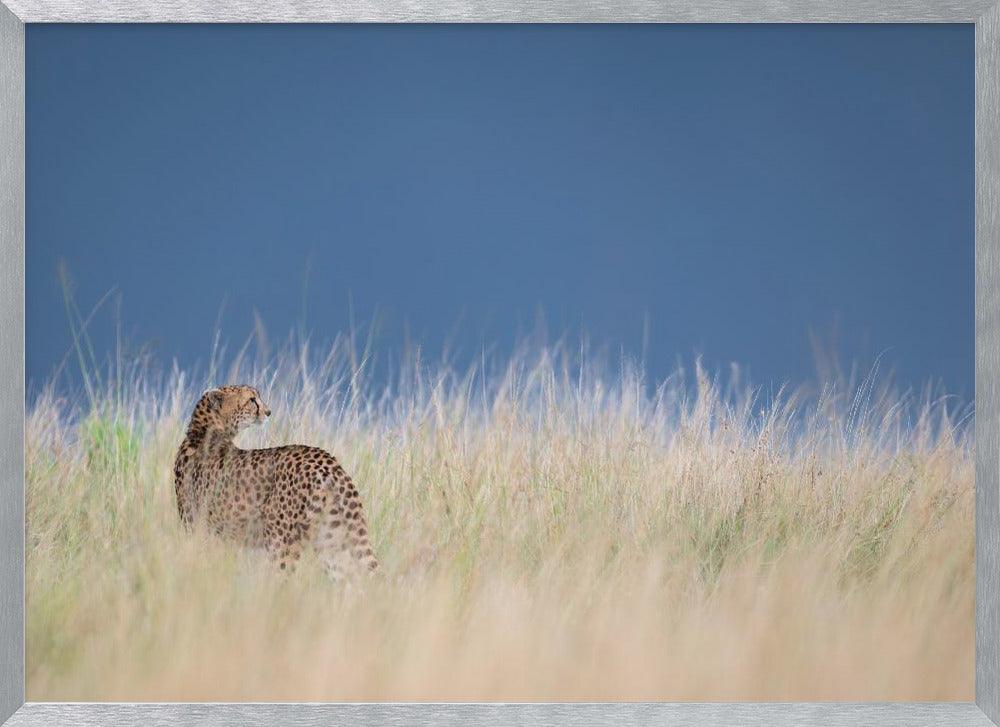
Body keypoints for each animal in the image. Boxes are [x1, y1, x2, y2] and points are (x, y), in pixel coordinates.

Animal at [172, 386, 378, 580]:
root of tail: (326, 460)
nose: (268, 411)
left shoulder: (201, 531)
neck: (203, 432)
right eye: (252, 399)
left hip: (281, 541)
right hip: (332, 539)